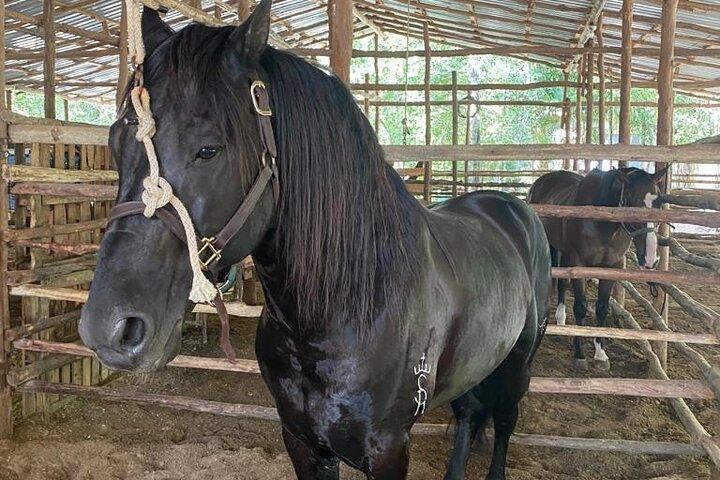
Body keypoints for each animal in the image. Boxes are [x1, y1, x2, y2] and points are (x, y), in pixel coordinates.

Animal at [78, 2, 551, 478]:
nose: (109, 329)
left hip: (518, 366)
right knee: (469, 415)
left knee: (504, 420)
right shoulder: (302, 441)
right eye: (116, 142)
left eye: (208, 149)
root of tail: (511, 208)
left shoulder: (389, 449)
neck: (348, 307)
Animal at [527, 167, 666, 371]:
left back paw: (561, 321)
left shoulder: (611, 267)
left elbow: (602, 307)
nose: (650, 258)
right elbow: (580, 307)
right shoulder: (577, 263)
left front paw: (600, 354)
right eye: (632, 202)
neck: (603, 224)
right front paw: (579, 355)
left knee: (563, 284)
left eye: (658, 203)